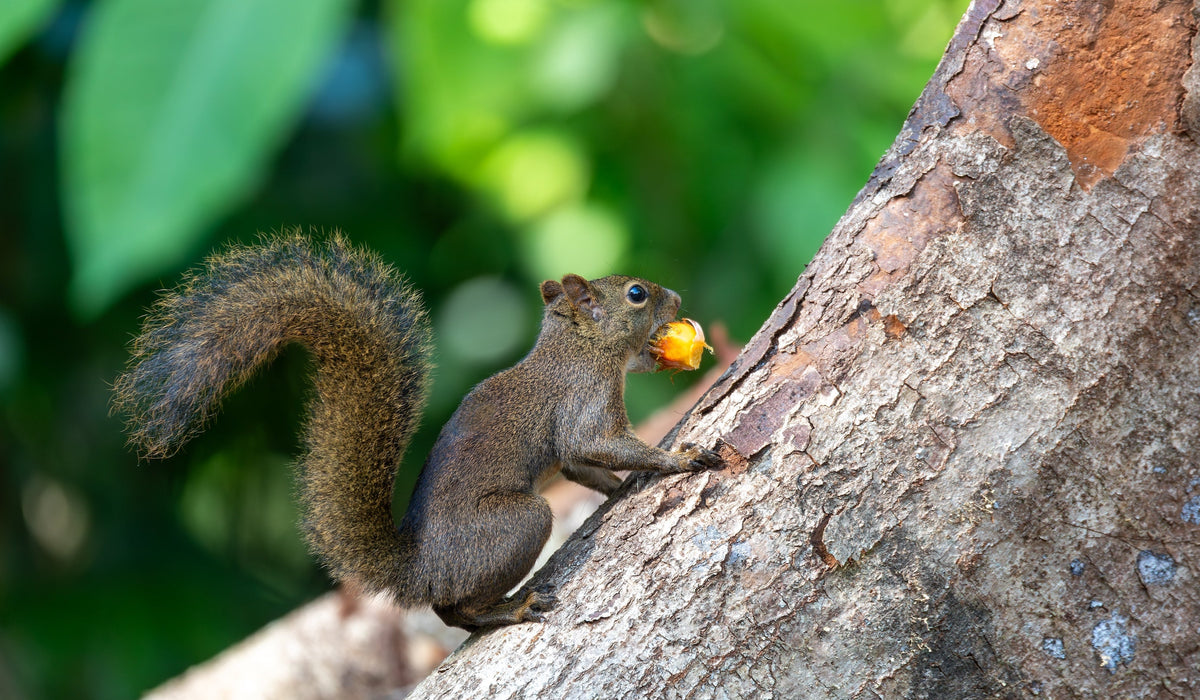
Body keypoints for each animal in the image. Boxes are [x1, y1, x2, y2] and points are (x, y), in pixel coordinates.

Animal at [113, 233, 723, 631]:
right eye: (637, 294)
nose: (677, 300)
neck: (577, 348)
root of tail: (420, 571)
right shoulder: (583, 403)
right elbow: (595, 445)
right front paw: (680, 459)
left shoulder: (576, 442)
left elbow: (585, 467)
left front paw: (616, 490)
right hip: (516, 525)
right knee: (453, 612)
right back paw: (510, 608)